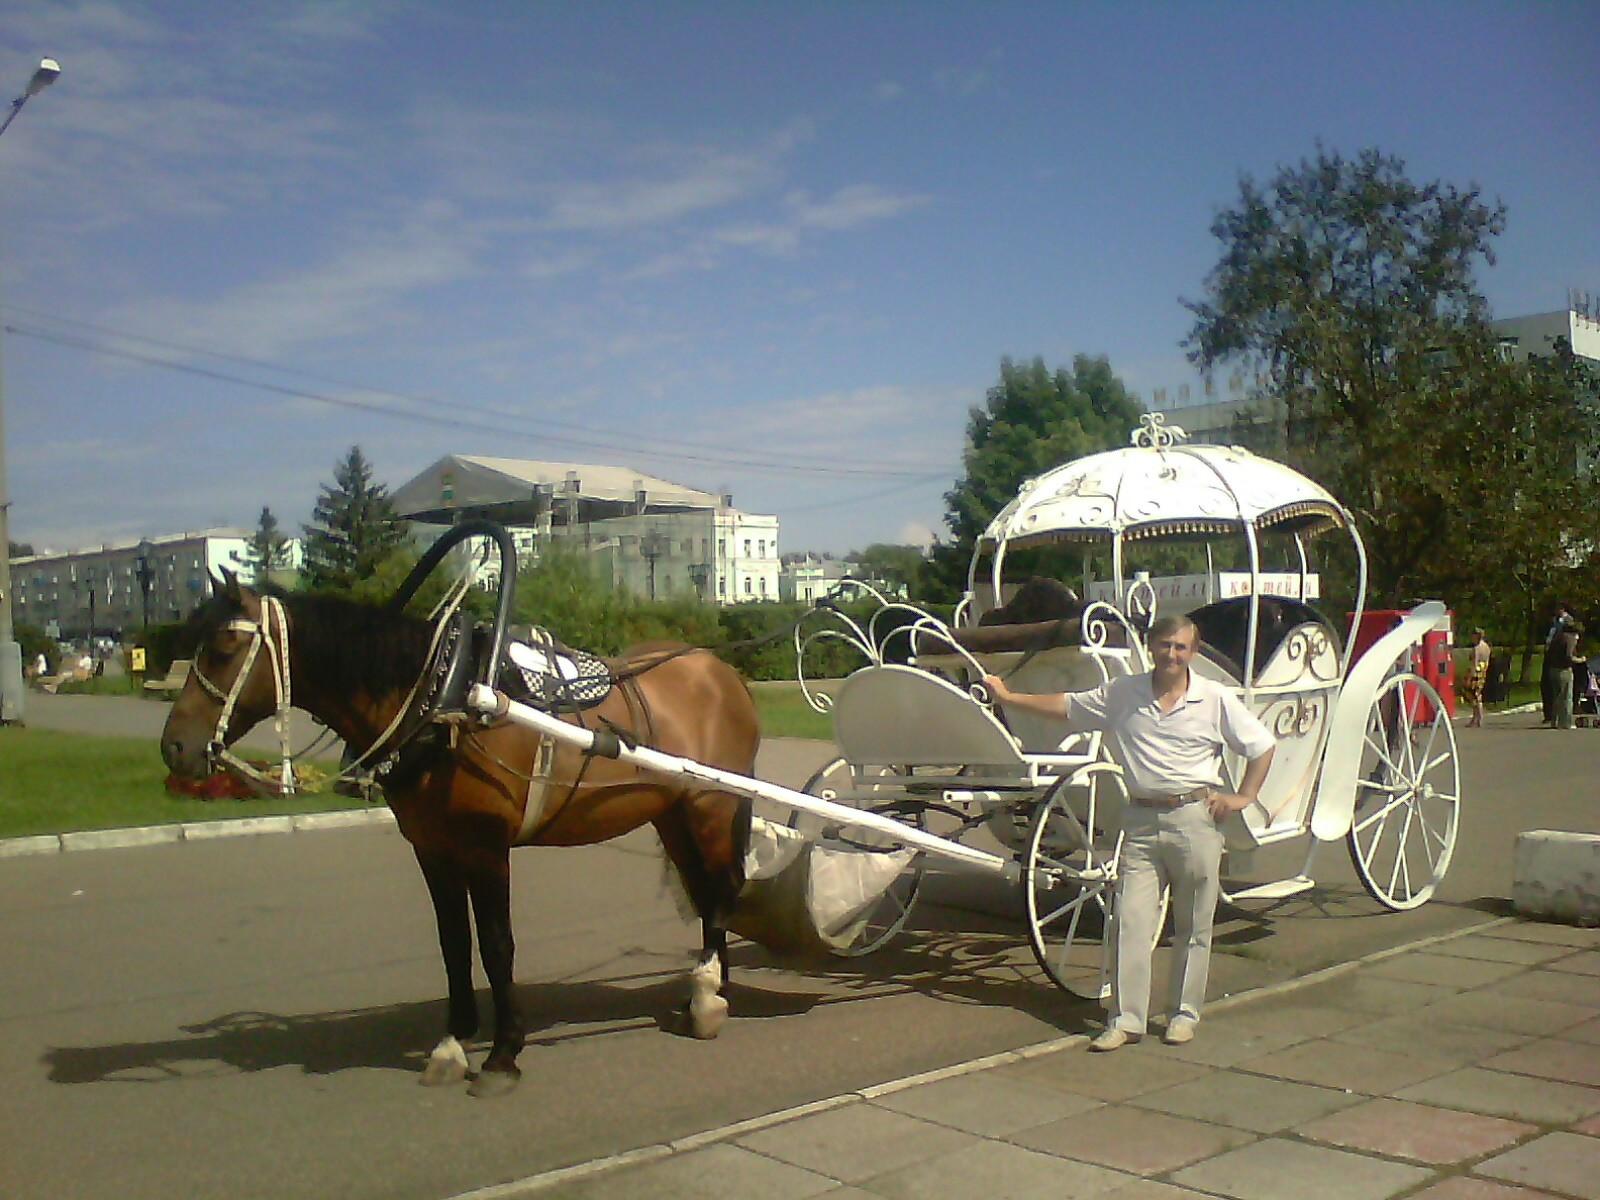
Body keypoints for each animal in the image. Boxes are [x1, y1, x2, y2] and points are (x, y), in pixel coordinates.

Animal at [159, 572, 758, 1100]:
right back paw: (705, 989)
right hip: (674, 813)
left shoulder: (487, 847)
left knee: (720, 892)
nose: (174, 748)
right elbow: (453, 944)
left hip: (710, 807)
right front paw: (452, 1043)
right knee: (707, 893)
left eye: (225, 647)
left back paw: (708, 997)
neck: (446, 701)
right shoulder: (433, 848)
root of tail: (722, 672)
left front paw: (503, 1054)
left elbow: (496, 944)